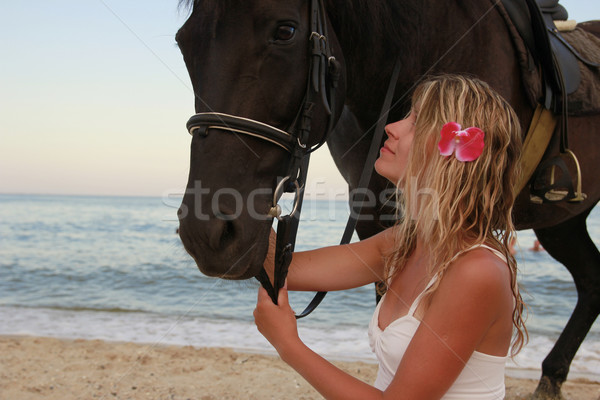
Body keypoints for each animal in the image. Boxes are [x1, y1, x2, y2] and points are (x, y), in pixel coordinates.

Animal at [175, 1, 600, 398]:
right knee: (591, 280)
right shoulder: (373, 213)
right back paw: (551, 378)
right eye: (183, 41)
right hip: (562, 223)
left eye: (286, 31)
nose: (207, 235)